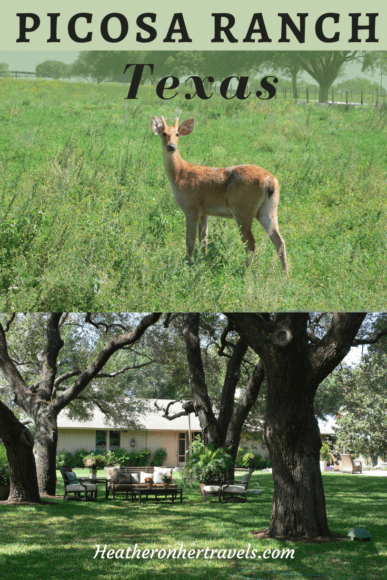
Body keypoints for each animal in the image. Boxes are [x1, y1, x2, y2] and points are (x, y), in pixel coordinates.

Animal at [151, 116, 288, 276]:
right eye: (164, 133)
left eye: (177, 134)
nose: (171, 146)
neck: (180, 174)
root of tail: (270, 180)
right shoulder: (204, 211)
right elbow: (203, 240)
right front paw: (202, 260)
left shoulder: (191, 208)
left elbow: (190, 241)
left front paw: (188, 264)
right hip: (268, 209)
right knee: (279, 240)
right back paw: (285, 274)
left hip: (243, 209)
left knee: (251, 243)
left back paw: (245, 272)